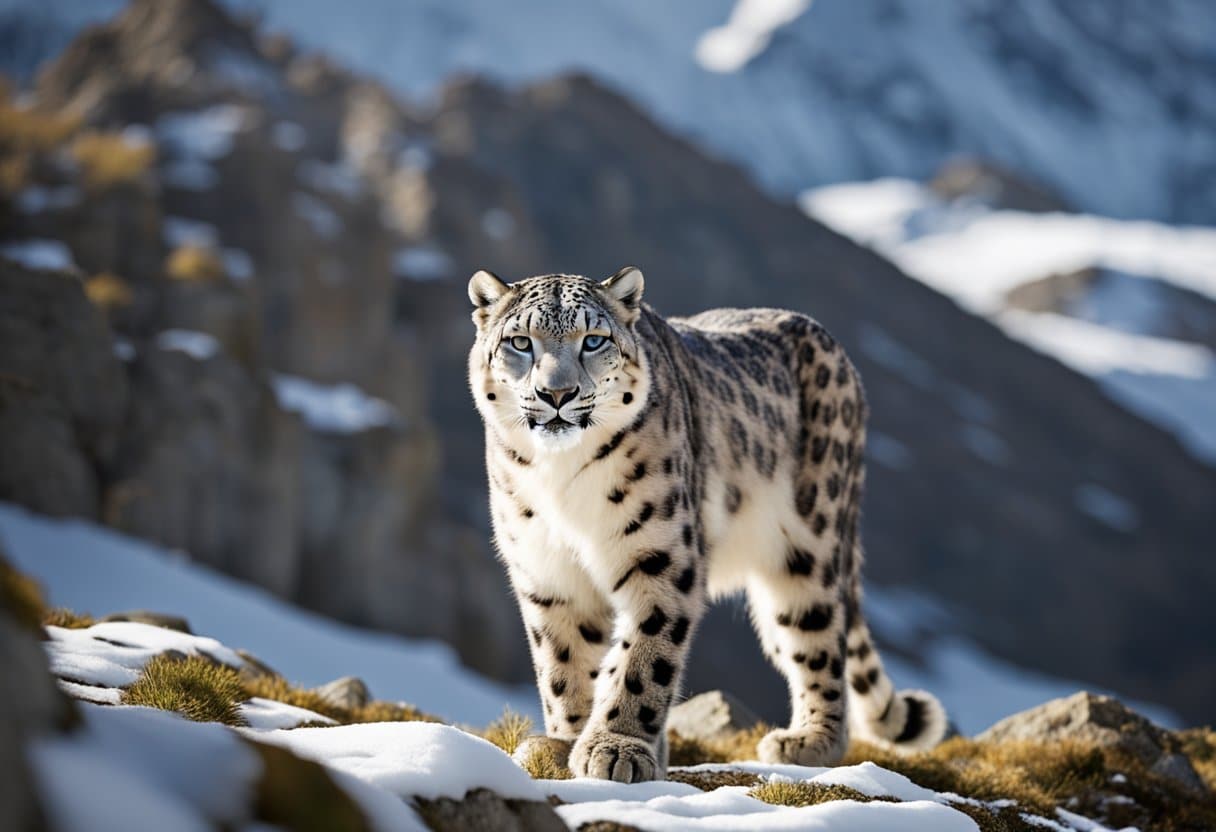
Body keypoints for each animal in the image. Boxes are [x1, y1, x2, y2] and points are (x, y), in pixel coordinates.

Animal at [467, 265, 948, 783]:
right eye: (520, 342)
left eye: (594, 340)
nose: (556, 393)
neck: (561, 479)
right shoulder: (546, 571)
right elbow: (564, 662)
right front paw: (562, 744)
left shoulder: (661, 555)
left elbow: (644, 656)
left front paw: (617, 746)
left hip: (809, 545)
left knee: (819, 636)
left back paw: (807, 741)